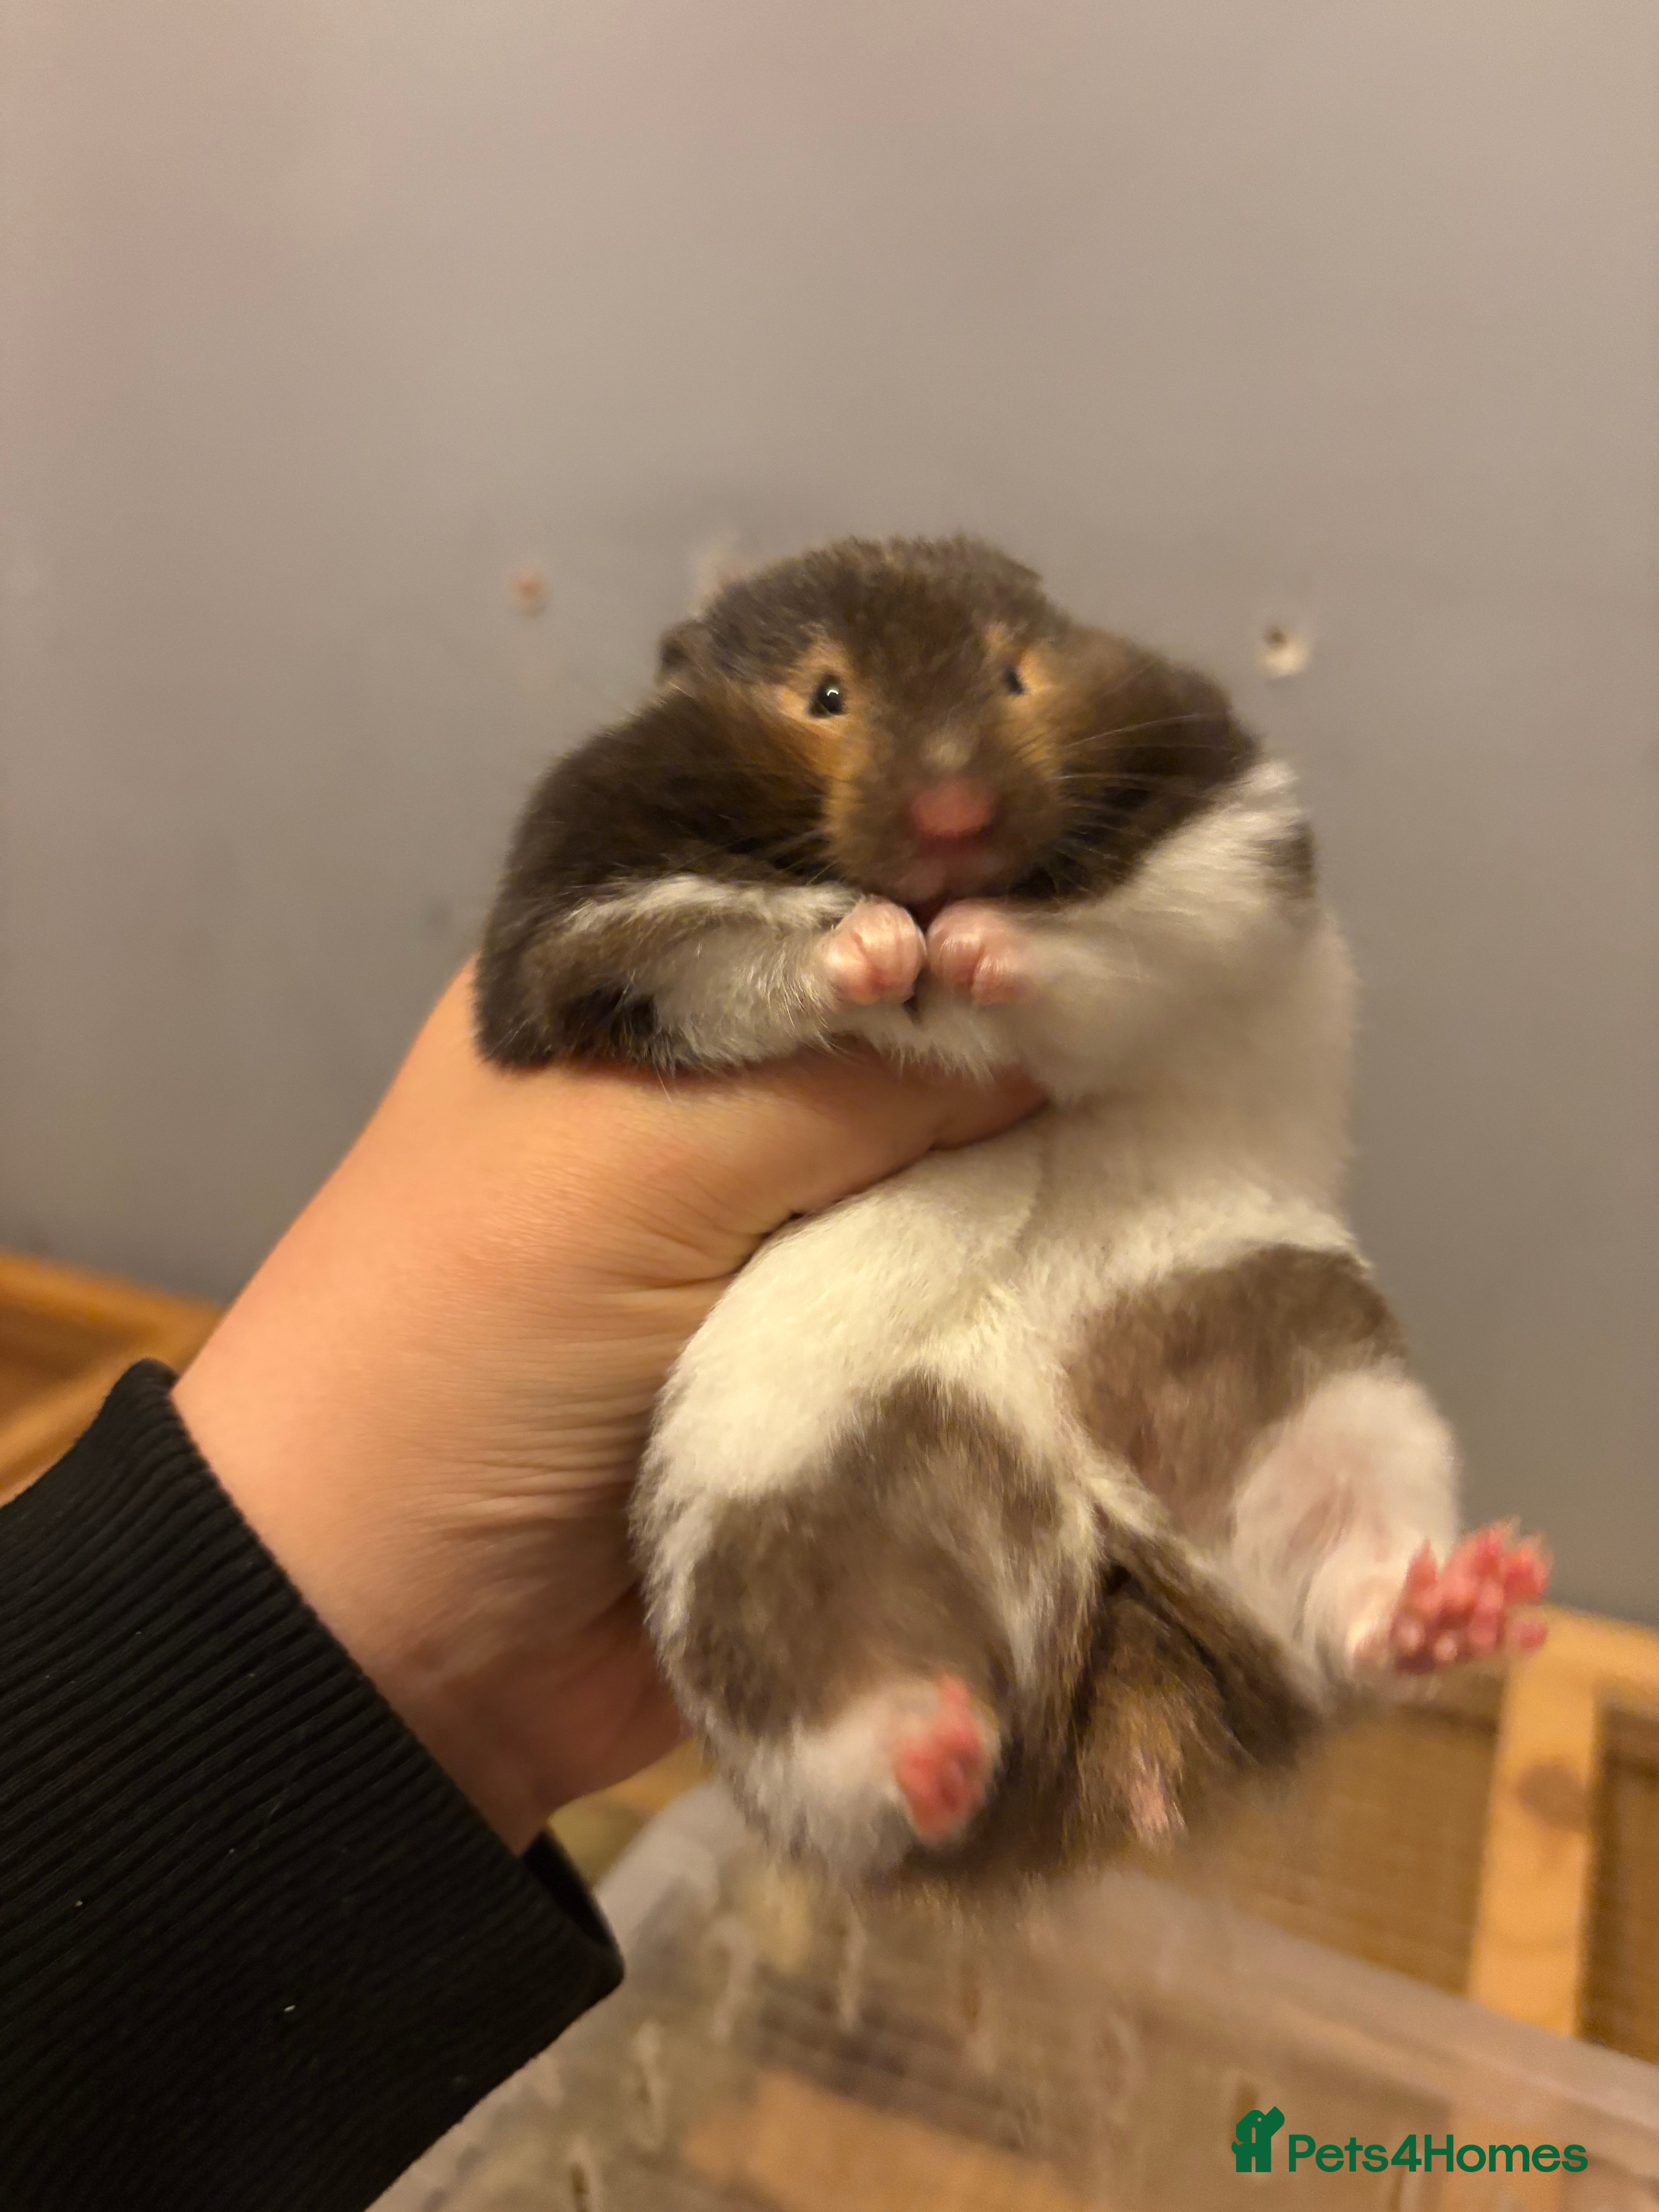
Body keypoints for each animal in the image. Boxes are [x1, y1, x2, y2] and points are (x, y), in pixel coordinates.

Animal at [475, 534, 1550, 1891]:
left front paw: (976, 947)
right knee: (872, 1763)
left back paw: (1466, 1599)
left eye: (1013, 677)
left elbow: (1099, 953)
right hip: (756, 1549)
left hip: (1312, 1370)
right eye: (825, 696)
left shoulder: (1225, 857)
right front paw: (880, 951)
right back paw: (934, 1747)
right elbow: (734, 952)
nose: (954, 819)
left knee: (1345, 1606)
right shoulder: (589, 923)